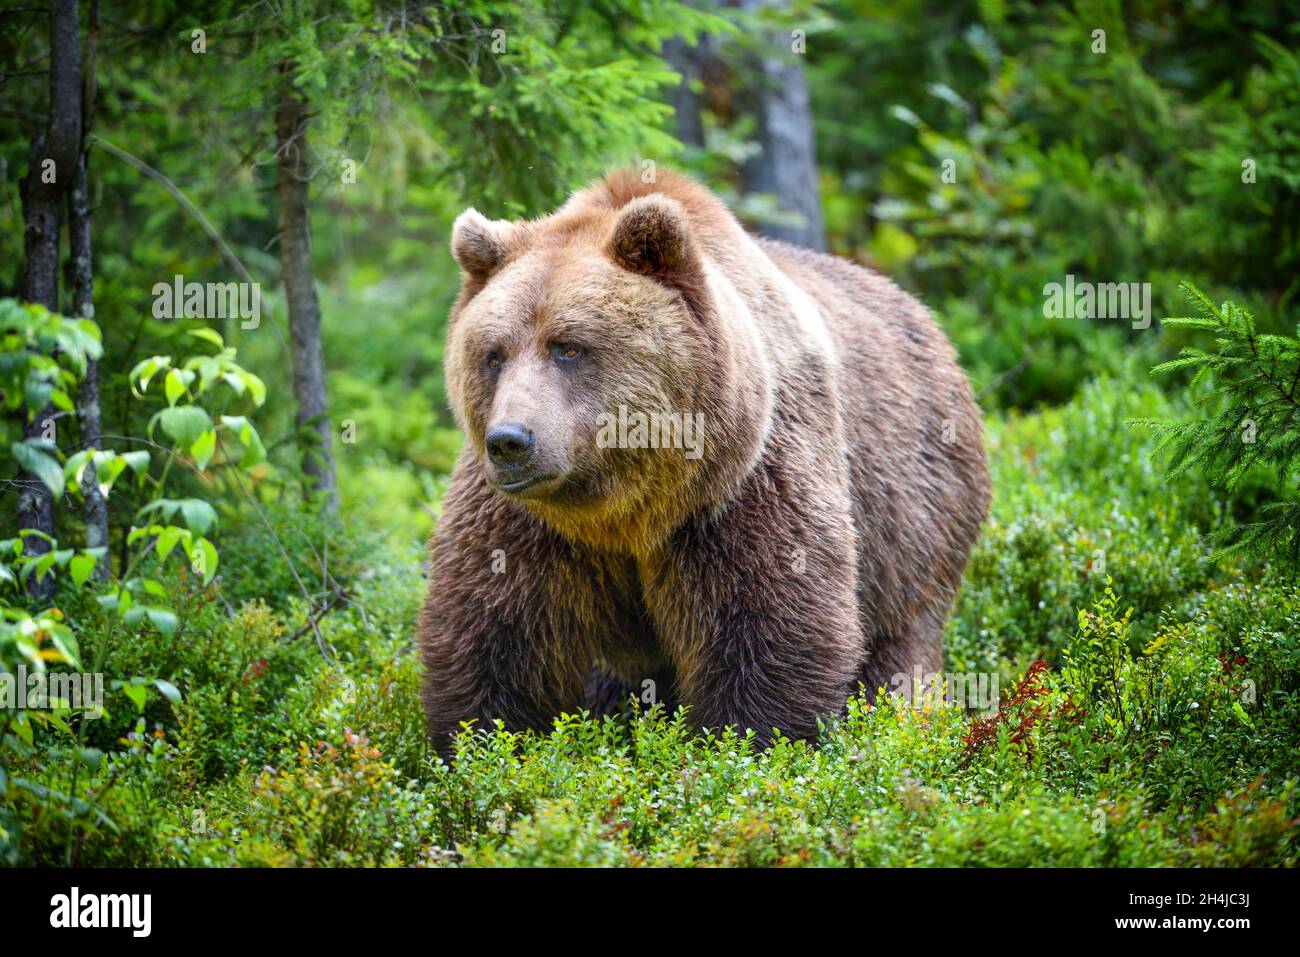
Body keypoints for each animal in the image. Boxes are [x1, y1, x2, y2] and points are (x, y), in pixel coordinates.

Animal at [418, 168, 990, 757]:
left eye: (568, 347)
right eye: (492, 355)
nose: (510, 441)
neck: (623, 507)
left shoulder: (742, 484)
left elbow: (769, 625)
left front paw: (742, 744)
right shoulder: (529, 521)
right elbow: (497, 633)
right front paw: (483, 744)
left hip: (914, 521)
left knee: (900, 645)